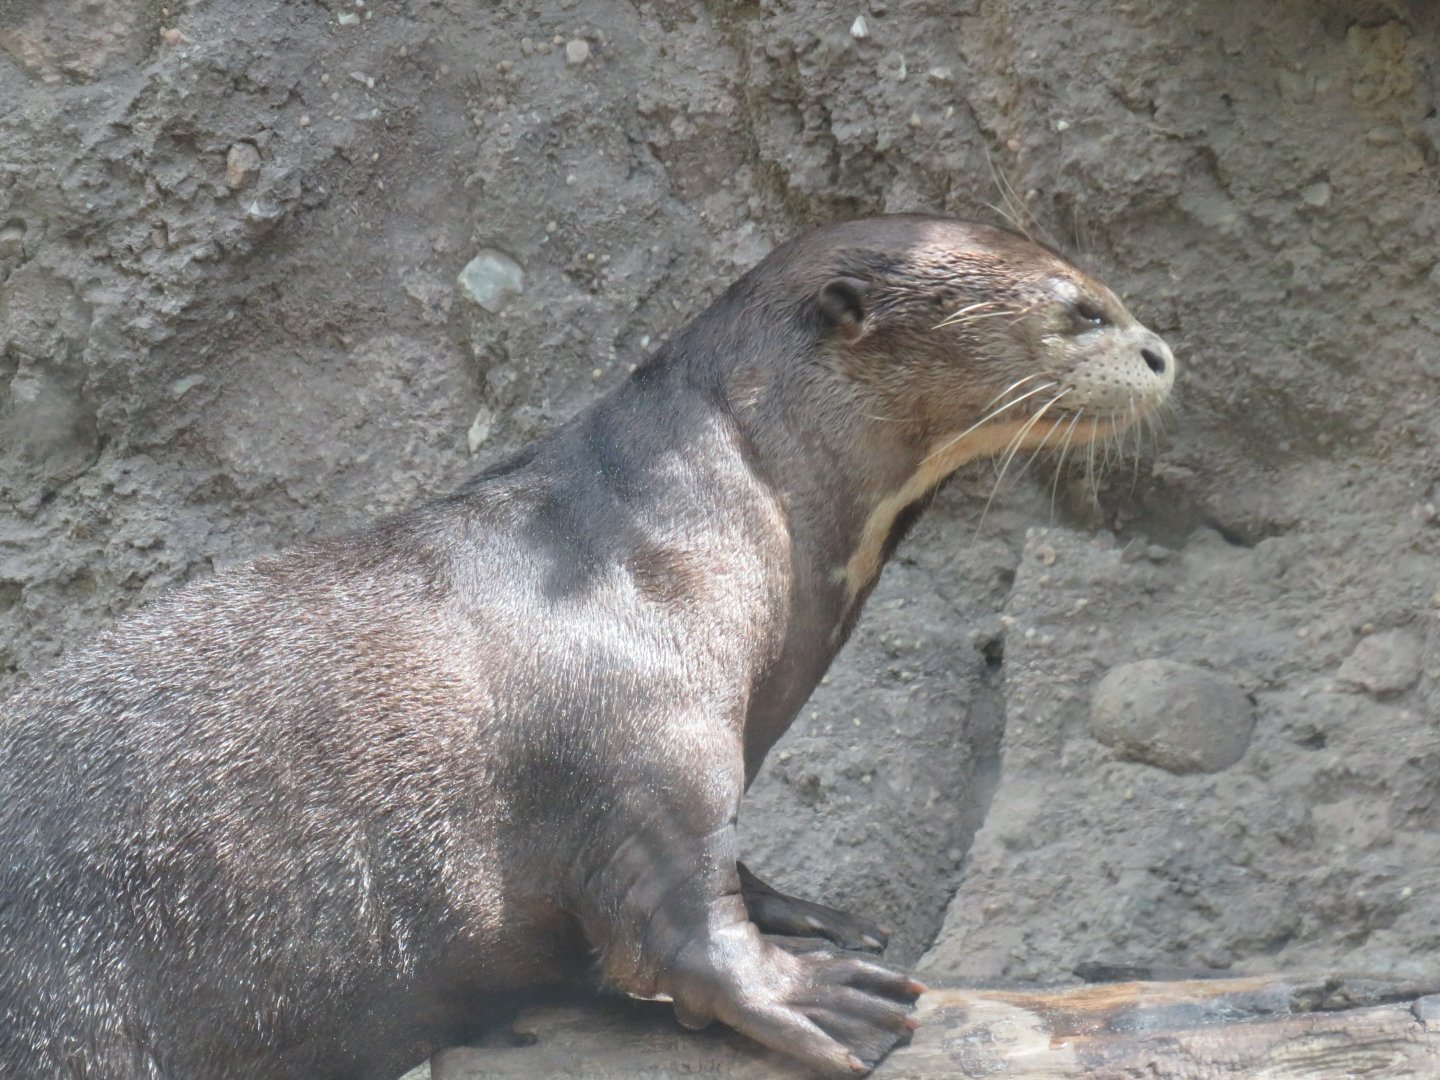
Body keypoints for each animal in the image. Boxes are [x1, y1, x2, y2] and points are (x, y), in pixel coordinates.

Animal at [0, 215, 1174, 1079]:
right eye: (1079, 310)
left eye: (1111, 291)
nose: (1162, 351)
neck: (691, 529)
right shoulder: (646, 739)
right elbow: (681, 919)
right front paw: (817, 996)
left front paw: (816, 919)